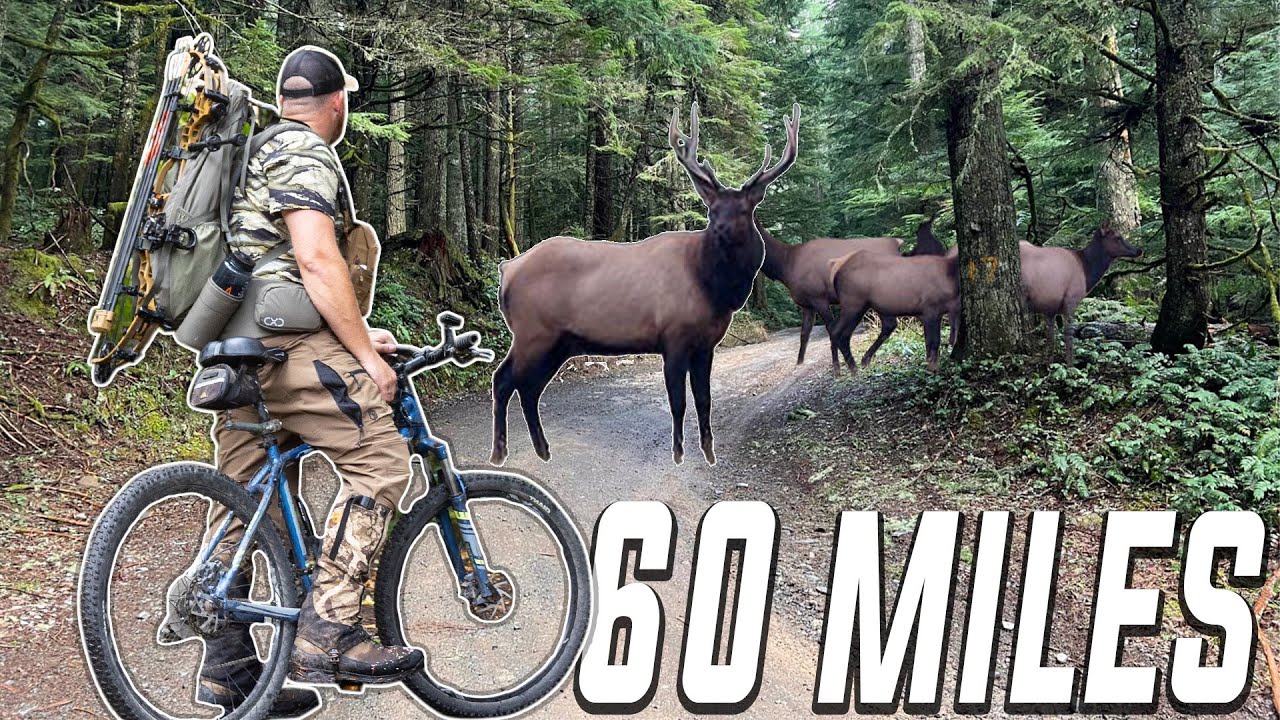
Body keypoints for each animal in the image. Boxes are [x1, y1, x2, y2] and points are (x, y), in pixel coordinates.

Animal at [490, 102, 800, 466]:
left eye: (743, 210)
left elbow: (705, 400)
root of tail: (507, 270)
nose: (720, 230)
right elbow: (678, 402)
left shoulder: (707, 344)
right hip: (532, 331)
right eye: (711, 209)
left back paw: (542, 449)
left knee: (528, 388)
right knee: (504, 380)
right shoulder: (673, 335)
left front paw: (709, 452)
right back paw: (499, 452)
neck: (713, 289)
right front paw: (678, 453)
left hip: (557, 342)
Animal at [1020, 223, 1142, 365]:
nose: (1139, 250)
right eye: (1117, 237)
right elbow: (1068, 332)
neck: (1087, 273)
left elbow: (1051, 335)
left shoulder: (1050, 308)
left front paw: (1049, 361)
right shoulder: (1071, 299)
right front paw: (1070, 364)